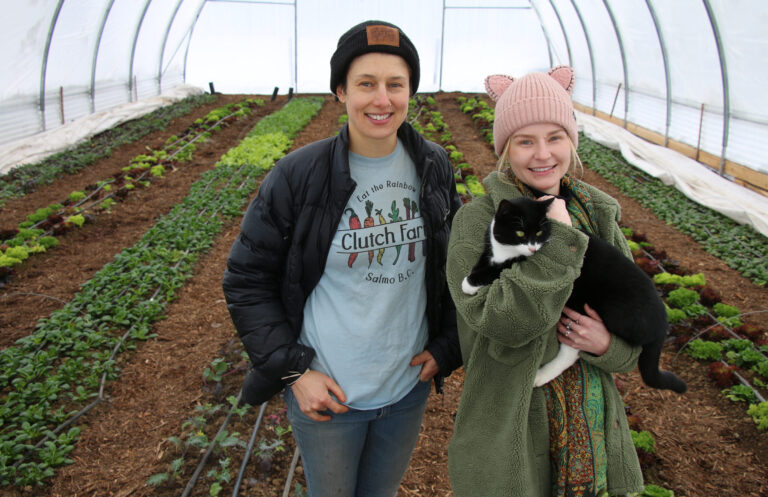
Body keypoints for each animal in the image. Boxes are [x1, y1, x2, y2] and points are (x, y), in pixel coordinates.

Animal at [462, 196, 688, 394]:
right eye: (519, 232)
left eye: (540, 231)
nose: (533, 248)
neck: (505, 250)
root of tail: (664, 322)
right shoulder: (491, 248)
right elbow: (485, 258)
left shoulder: (518, 263)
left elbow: (497, 270)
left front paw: (469, 283)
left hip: (599, 309)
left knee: (572, 353)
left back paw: (541, 376)